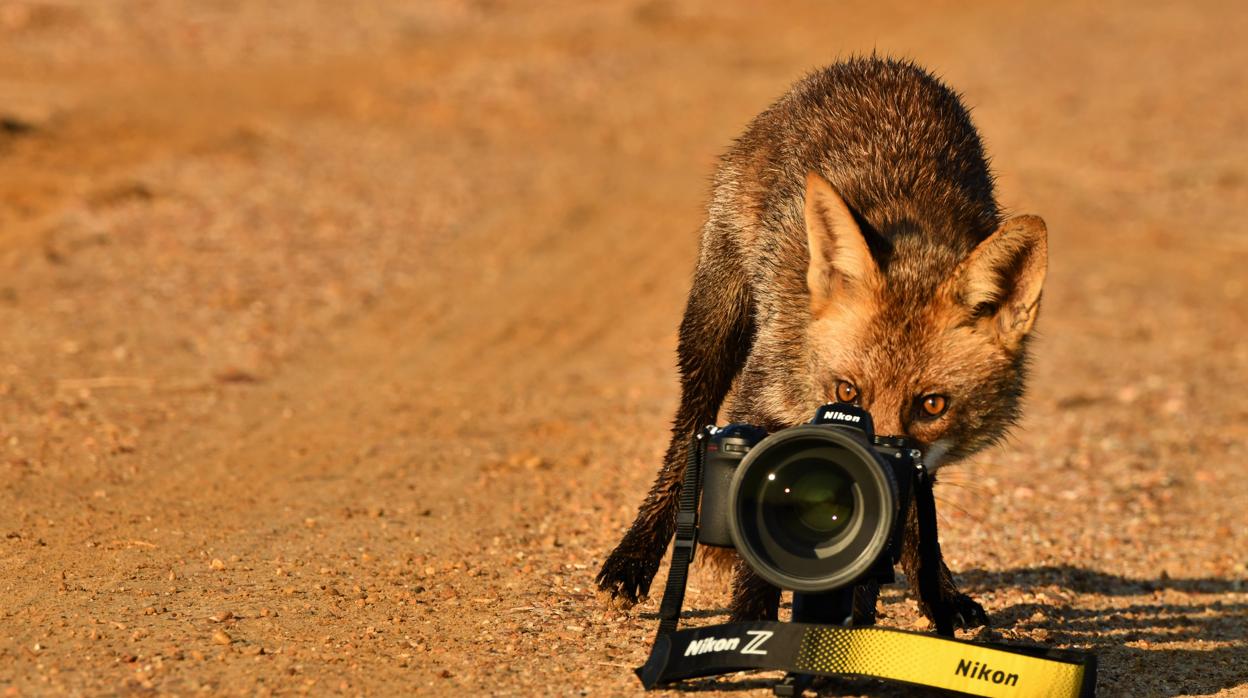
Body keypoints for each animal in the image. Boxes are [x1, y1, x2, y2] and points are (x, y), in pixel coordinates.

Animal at [596, 56, 1047, 627]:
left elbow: (904, 530)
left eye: (932, 405)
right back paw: (632, 558)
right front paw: (751, 623)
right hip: (713, 331)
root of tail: (876, 65)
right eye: (847, 393)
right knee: (685, 435)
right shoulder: (763, 398)